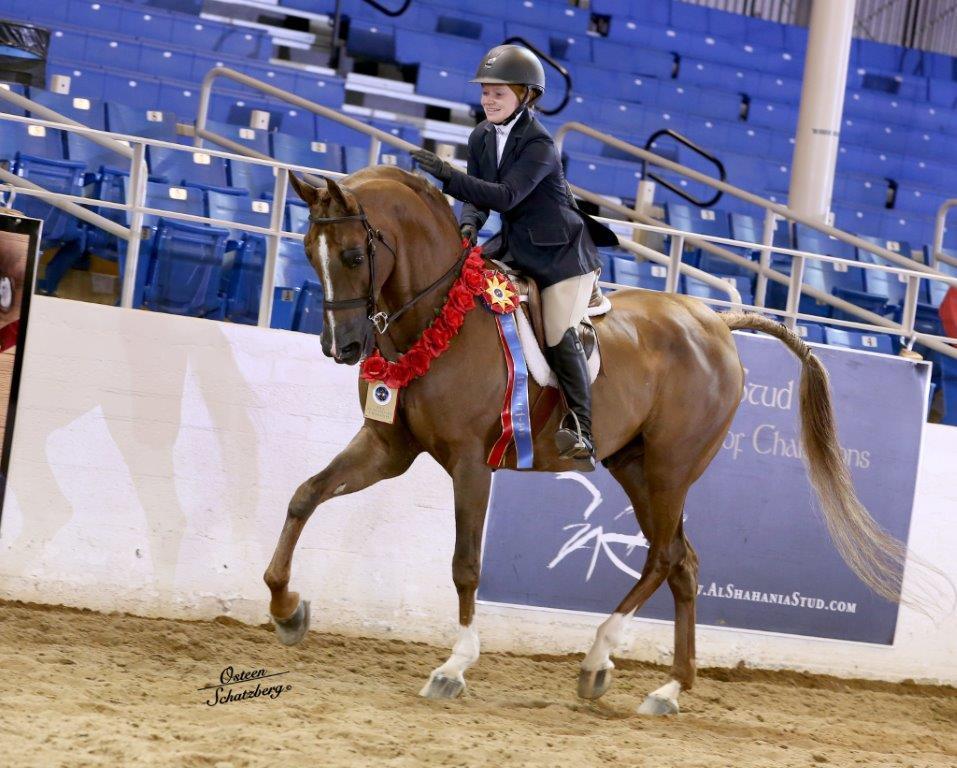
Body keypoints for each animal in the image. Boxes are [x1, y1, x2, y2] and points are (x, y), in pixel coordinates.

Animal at [262, 165, 908, 714]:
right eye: (308, 253)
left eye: (352, 254)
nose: (342, 347)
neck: (441, 315)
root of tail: (715, 324)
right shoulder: (388, 450)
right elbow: (303, 495)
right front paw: (286, 608)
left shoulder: (471, 463)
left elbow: (465, 564)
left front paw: (454, 666)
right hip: (634, 466)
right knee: (684, 562)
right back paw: (668, 689)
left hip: (672, 467)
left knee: (663, 557)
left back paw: (600, 658)